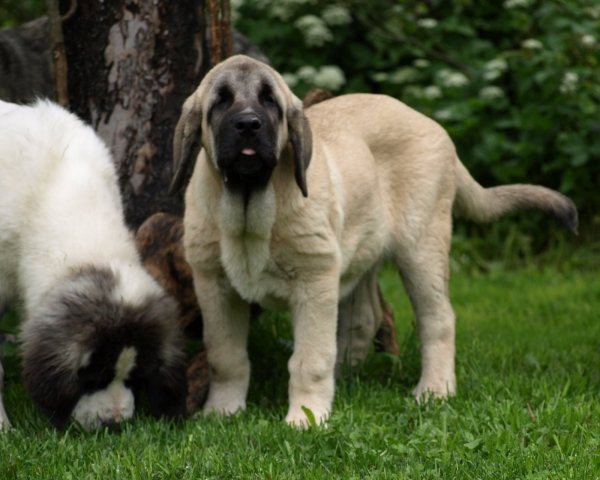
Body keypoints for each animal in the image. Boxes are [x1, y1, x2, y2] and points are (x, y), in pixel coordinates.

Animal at [171, 54, 580, 426]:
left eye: (269, 100)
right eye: (221, 101)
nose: (248, 124)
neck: (248, 204)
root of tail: (432, 125)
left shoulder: (314, 280)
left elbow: (309, 359)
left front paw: (306, 418)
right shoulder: (213, 286)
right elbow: (225, 357)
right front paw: (222, 411)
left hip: (421, 246)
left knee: (438, 319)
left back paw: (435, 390)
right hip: (359, 250)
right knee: (365, 317)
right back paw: (347, 377)